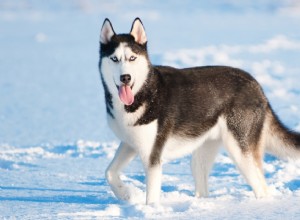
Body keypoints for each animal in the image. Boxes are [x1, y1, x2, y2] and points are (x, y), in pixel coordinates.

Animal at [99, 17, 300, 205]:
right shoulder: (130, 144)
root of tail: (256, 85)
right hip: (201, 155)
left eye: (132, 58)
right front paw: (126, 194)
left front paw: (149, 210)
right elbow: (109, 172)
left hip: (240, 152)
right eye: (114, 59)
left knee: (261, 188)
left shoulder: (152, 157)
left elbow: (152, 197)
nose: (125, 77)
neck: (143, 92)